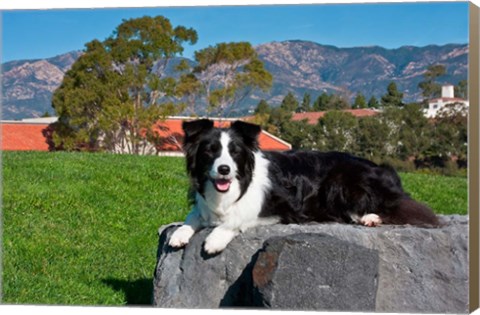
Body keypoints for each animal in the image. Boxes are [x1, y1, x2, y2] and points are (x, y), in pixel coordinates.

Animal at [169, 119, 438, 256]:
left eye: (234, 152)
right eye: (210, 151)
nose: (224, 169)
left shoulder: (280, 206)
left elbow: (236, 218)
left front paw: (215, 238)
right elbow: (194, 215)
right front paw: (180, 233)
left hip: (339, 180)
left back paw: (370, 218)